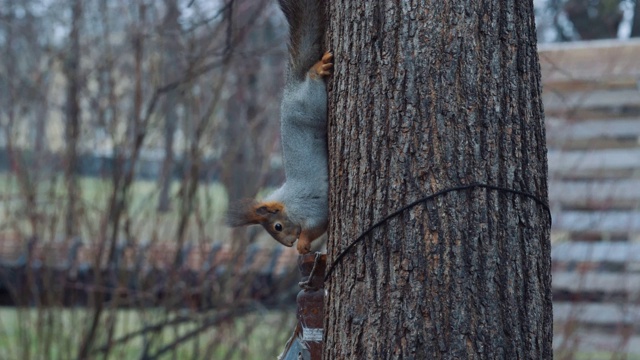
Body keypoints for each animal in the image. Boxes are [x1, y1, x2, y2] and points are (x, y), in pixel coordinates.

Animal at [225, 0, 332, 256]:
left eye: (278, 226)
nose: (289, 244)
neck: (287, 201)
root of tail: (291, 90)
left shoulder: (310, 207)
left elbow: (317, 224)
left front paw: (303, 244)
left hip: (312, 104)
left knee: (312, 79)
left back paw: (317, 69)